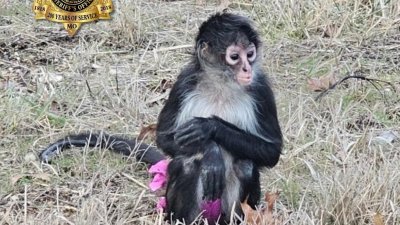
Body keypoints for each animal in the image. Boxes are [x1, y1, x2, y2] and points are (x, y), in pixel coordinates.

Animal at [37, 12, 282, 225]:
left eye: (250, 54)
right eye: (235, 56)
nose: (247, 69)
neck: (221, 85)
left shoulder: (260, 88)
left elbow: (272, 152)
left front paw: (209, 127)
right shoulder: (184, 83)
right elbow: (165, 139)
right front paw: (211, 150)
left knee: (245, 165)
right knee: (186, 164)